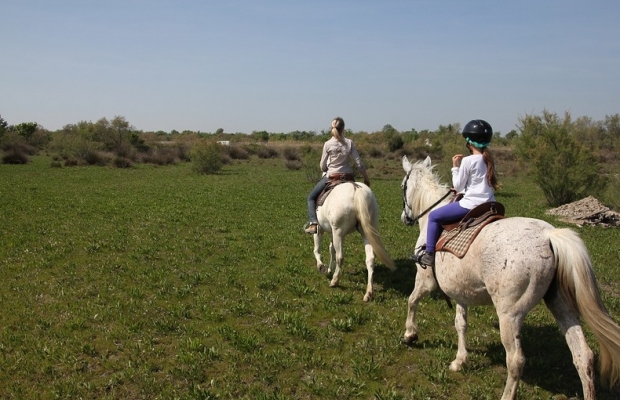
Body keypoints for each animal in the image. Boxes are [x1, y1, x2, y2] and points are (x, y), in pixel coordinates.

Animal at [400, 155, 620, 400]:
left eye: (403, 186)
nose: (404, 218)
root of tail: (549, 235)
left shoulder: (426, 281)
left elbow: (412, 300)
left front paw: (410, 334)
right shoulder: (461, 293)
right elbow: (460, 324)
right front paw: (460, 360)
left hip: (509, 314)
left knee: (516, 360)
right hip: (562, 305)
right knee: (583, 355)